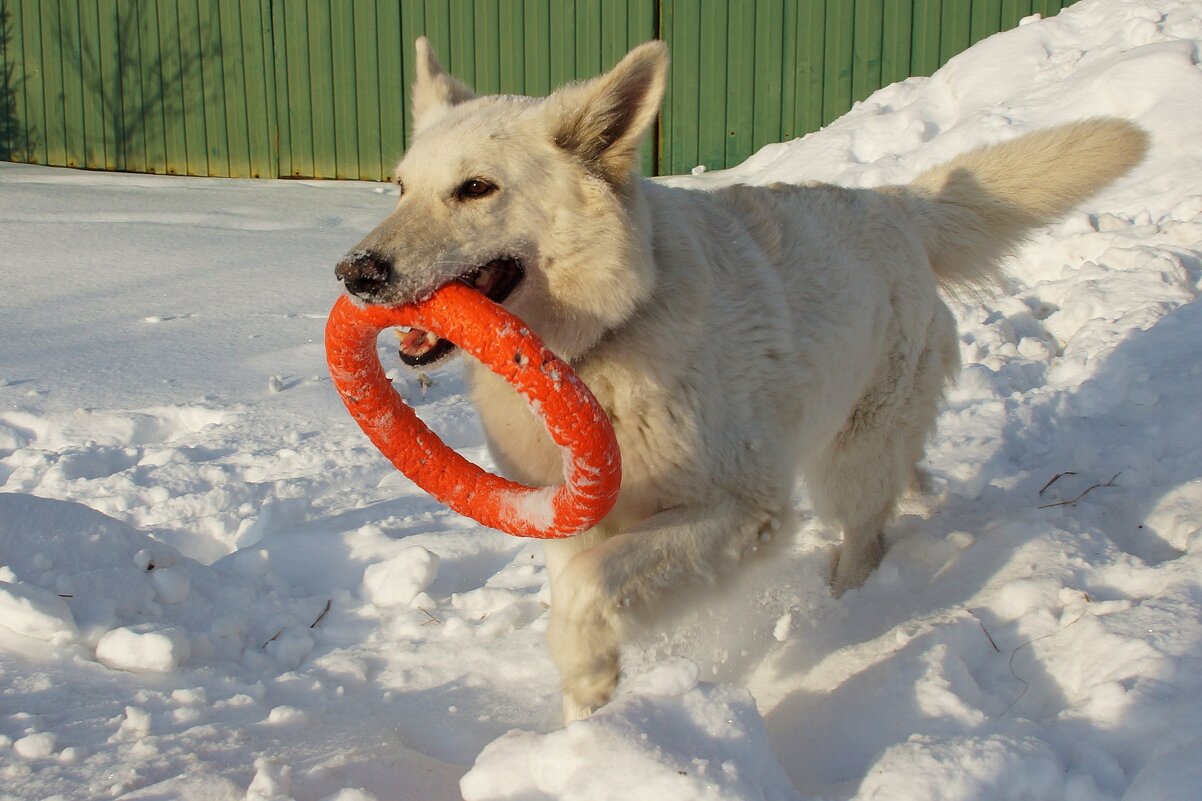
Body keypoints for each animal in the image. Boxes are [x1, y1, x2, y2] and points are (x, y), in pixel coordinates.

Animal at [336, 37, 1144, 721]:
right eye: (400, 187)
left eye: (476, 188)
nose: (354, 273)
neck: (599, 343)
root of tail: (896, 203)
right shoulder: (570, 518)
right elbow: (580, 582)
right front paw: (582, 725)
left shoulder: (742, 511)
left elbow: (588, 588)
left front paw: (589, 677)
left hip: (846, 461)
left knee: (865, 535)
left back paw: (847, 615)